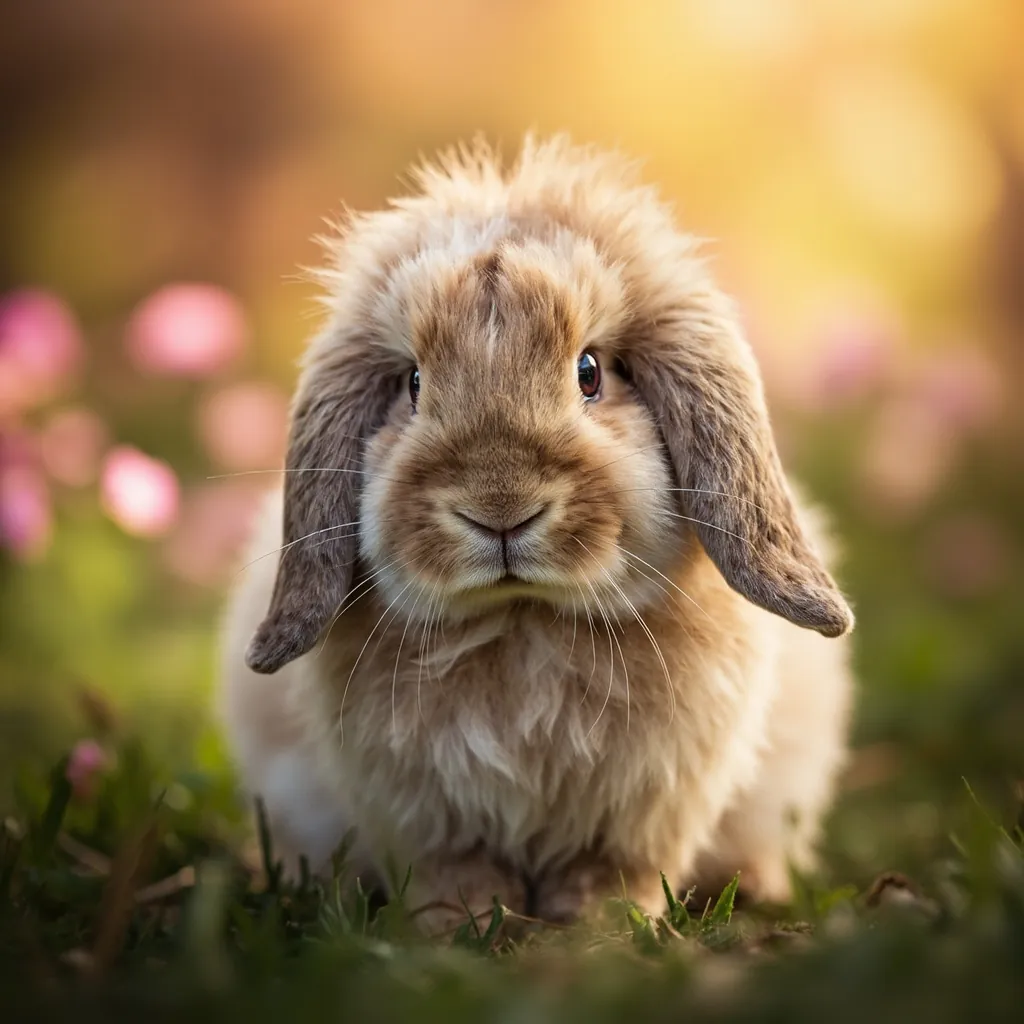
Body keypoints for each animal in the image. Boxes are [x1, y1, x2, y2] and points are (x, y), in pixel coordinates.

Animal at [219, 135, 855, 930]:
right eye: (413, 384)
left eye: (590, 372)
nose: (500, 507)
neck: (522, 621)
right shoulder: (427, 819)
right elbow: (454, 871)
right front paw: (458, 926)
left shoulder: (639, 815)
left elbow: (613, 874)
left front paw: (603, 930)